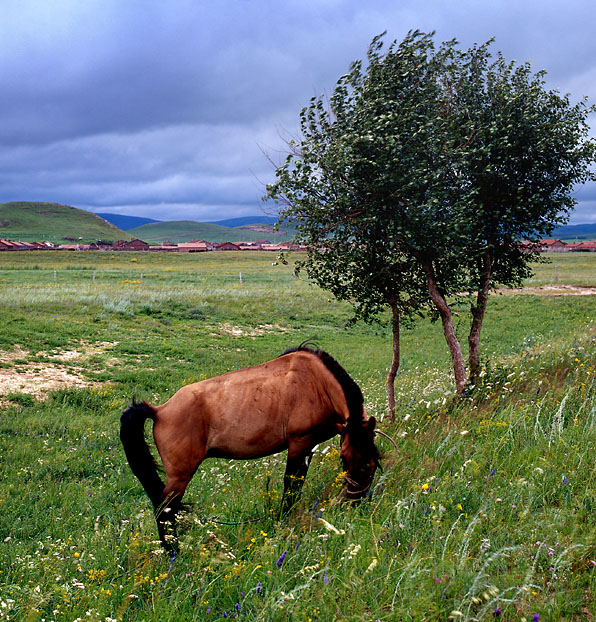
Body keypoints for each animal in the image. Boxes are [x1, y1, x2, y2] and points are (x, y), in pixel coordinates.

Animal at [120, 346, 380, 552]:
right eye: (344, 458)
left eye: (373, 460)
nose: (355, 499)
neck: (317, 383)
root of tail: (160, 411)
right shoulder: (299, 442)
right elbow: (291, 486)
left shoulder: (309, 447)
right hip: (179, 477)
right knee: (164, 511)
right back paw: (174, 554)